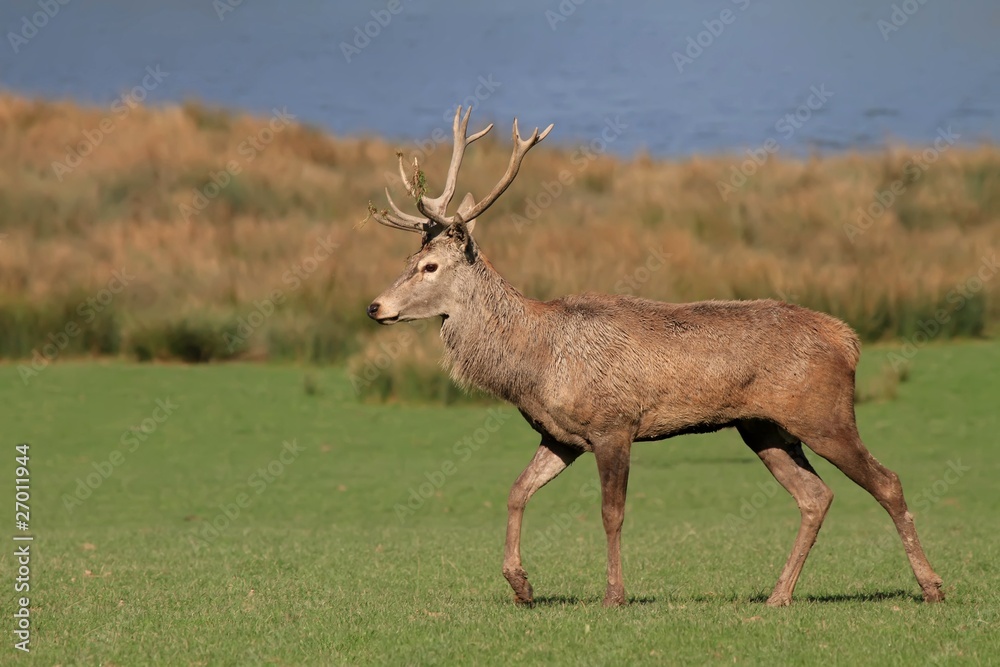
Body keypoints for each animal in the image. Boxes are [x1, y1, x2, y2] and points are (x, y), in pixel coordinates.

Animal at [365, 106, 945, 608]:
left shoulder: (615, 423)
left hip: (824, 413)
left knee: (887, 481)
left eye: (431, 266)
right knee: (814, 496)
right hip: (763, 427)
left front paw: (614, 596)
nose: (375, 306)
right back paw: (778, 595)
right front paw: (521, 586)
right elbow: (515, 492)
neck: (535, 364)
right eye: (408, 258)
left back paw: (932, 587)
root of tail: (848, 339)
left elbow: (611, 513)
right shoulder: (560, 435)